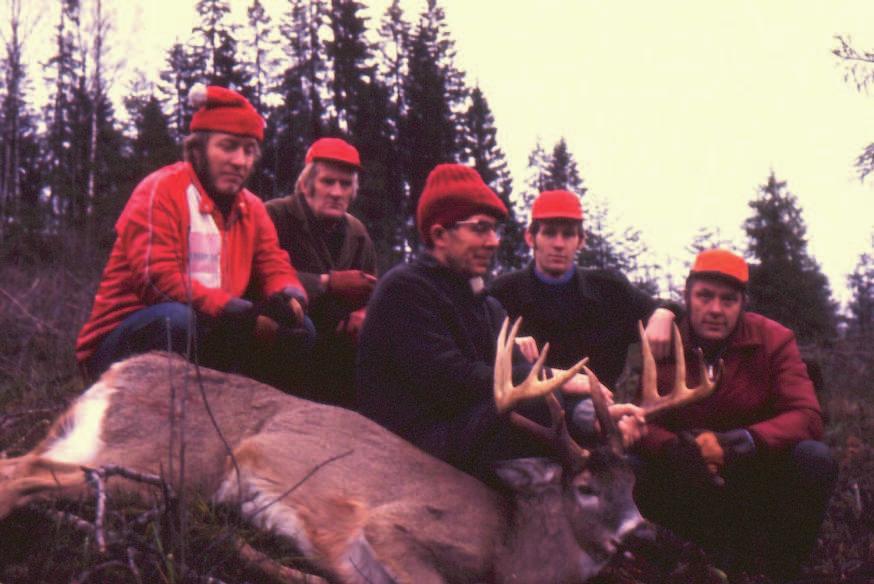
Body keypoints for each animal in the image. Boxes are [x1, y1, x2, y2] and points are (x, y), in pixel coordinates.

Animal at [0, 320, 712, 584]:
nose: (646, 534)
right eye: (585, 488)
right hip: (158, 466)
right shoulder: (393, 525)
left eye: (634, 486)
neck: (518, 554)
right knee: (20, 475)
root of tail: (121, 371)